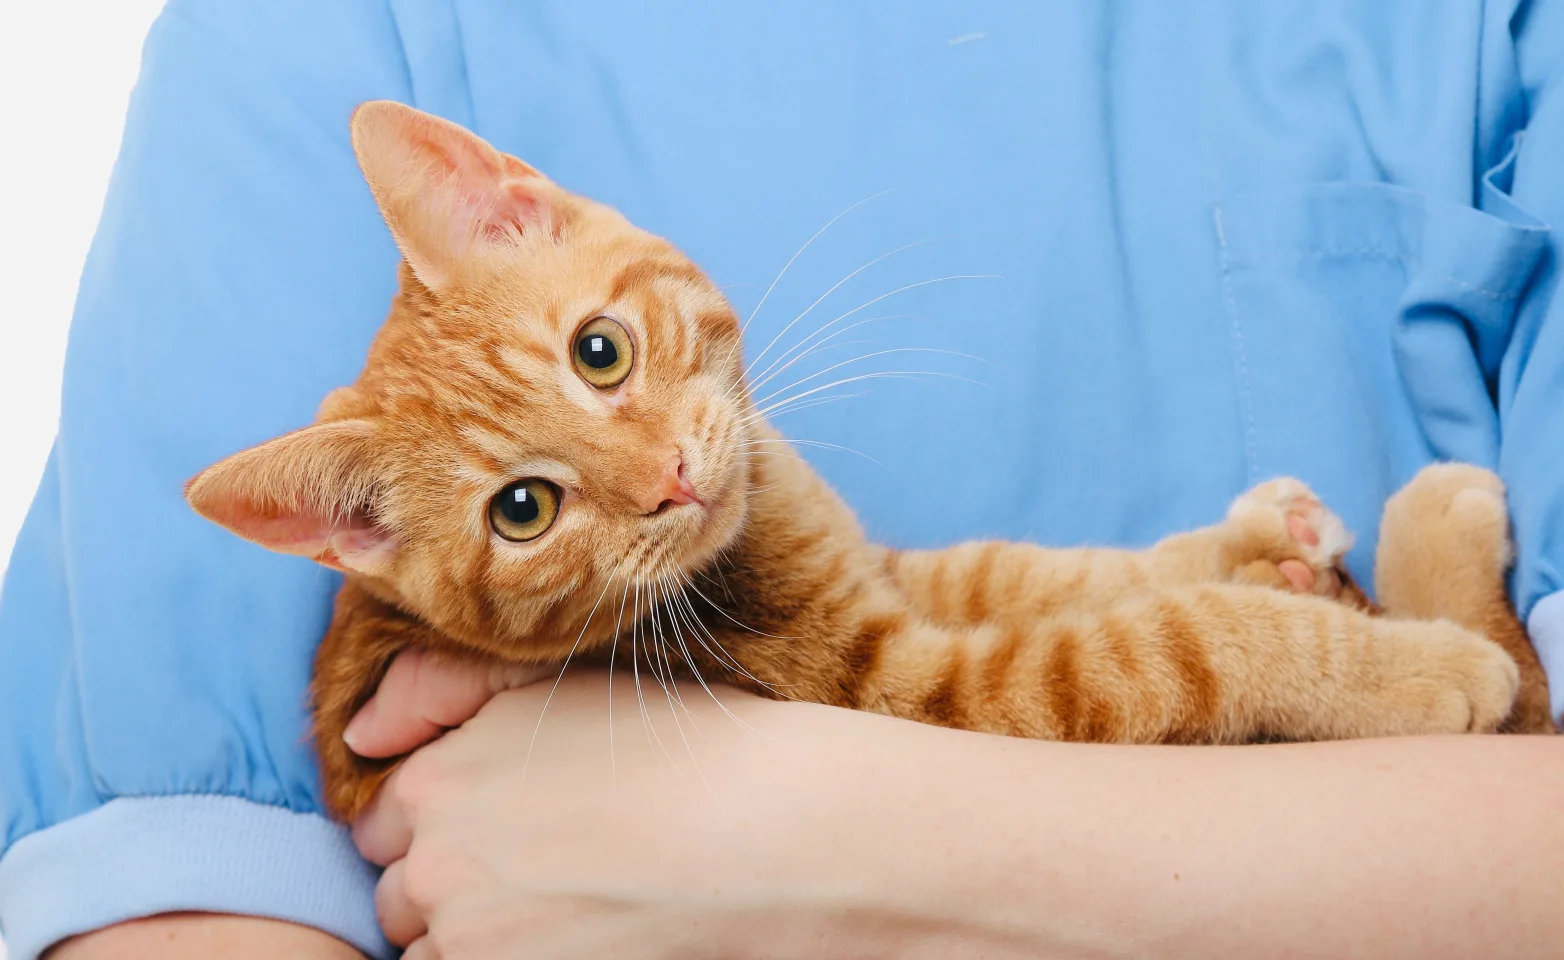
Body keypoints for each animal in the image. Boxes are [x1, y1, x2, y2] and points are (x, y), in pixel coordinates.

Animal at [182, 101, 1551, 819]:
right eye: (523, 510)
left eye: (599, 352)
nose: (670, 480)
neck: (759, 533)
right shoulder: (922, 686)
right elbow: (1176, 643)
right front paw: (1404, 668)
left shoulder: (898, 577)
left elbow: (1042, 572)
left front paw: (1247, 542)